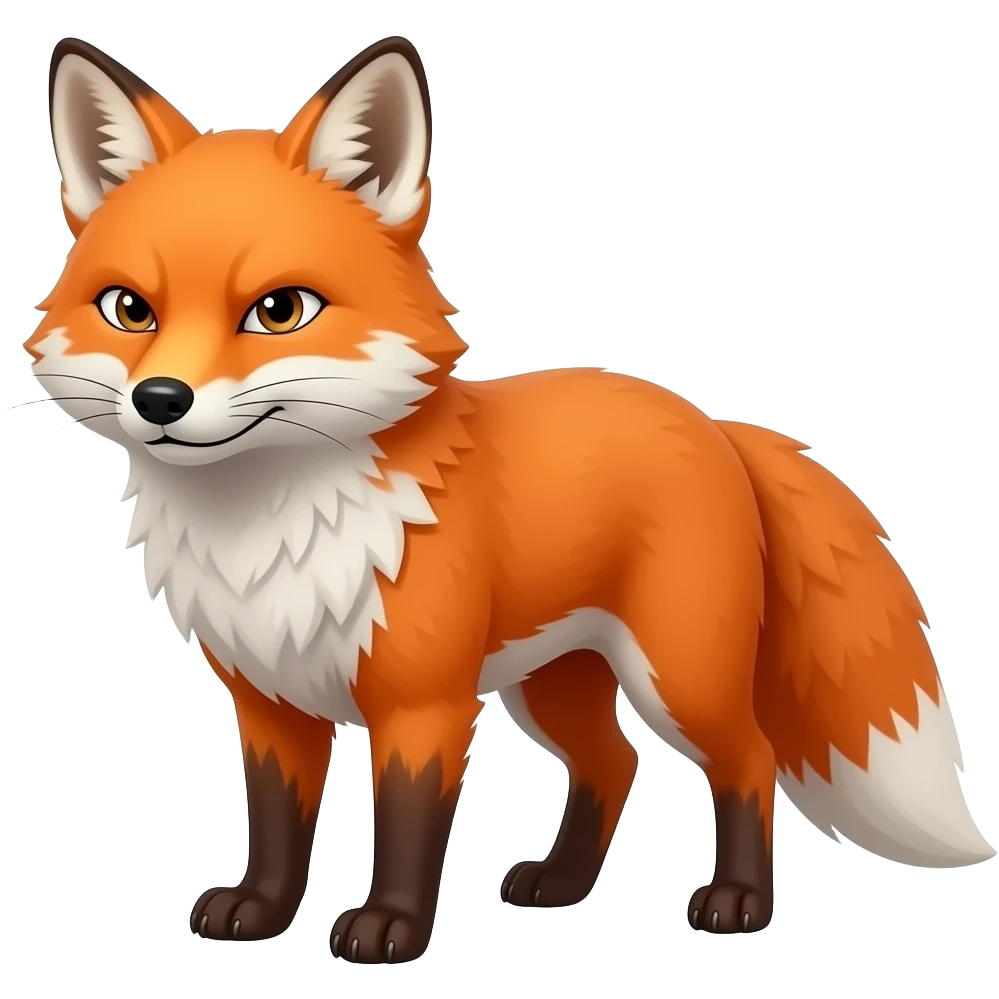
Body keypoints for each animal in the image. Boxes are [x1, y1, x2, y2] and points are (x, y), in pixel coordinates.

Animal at [24, 34, 994, 962]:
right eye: (130, 309)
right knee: (616, 763)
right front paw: (259, 911)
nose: (161, 400)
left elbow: (407, 826)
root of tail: (713, 422)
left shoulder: (424, 704)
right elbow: (275, 826)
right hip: (552, 684)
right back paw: (560, 885)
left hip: (678, 675)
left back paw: (737, 902)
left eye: (279, 310)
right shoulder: (270, 702)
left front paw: (391, 928)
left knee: (746, 759)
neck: (272, 530)